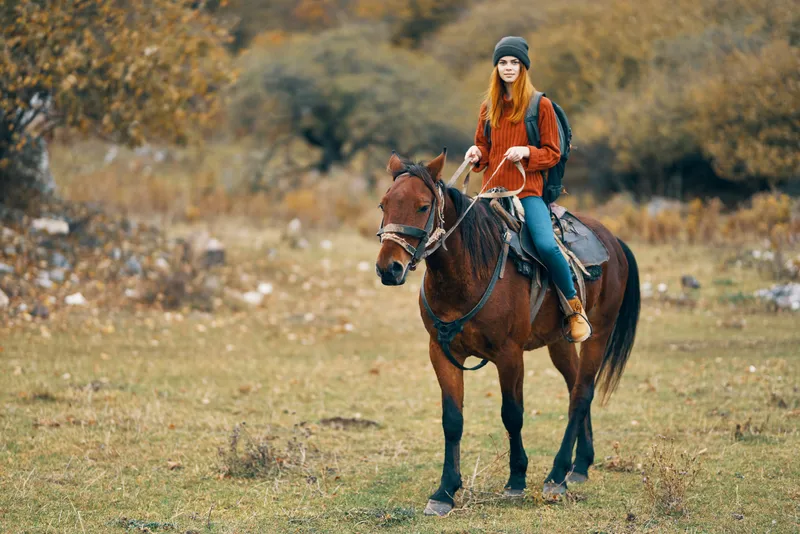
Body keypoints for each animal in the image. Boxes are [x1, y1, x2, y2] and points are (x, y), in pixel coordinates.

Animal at [374, 150, 640, 516]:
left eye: (422, 206)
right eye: (383, 204)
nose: (389, 269)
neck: (469, 273)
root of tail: (613, 242)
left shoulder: (509, 354)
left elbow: (512, 415)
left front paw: (516, 479)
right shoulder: (441, 352)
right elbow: (452, 419)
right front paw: (445, 491)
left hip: (598, 336)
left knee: (581, 394)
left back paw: (557, 474)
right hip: (560, 343)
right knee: (574, 386)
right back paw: (580, 465)